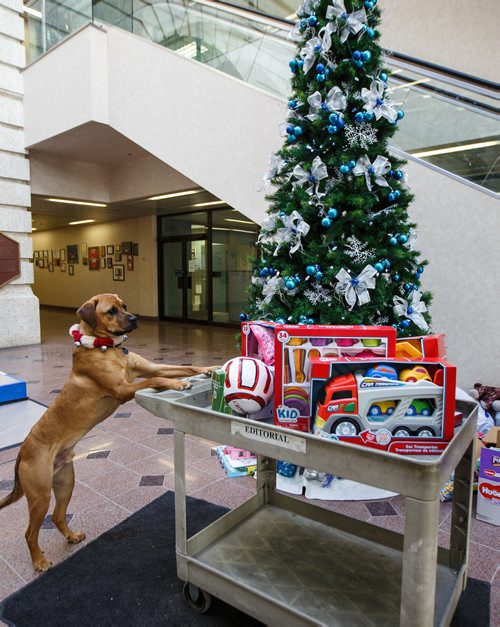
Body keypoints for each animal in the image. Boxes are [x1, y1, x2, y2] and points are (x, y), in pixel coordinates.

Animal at [0, 294, 213, 576]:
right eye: (111, 311)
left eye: (125, 306)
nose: (135, 319)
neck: (107, 347)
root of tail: (23, 450)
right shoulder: (123, 389)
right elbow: (154, 380)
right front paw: (177, 384)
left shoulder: (151, 366)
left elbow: (184, 367)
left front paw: (212, 367)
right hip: (39, 494)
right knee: (29, 532)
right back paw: (39, 562)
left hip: (65, 482)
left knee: (57, 516)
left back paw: (71, 536)